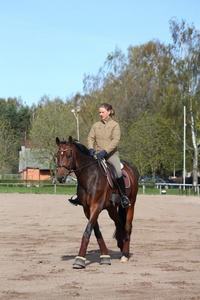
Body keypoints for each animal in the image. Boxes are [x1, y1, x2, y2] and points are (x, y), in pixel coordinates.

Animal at [55, 137, 138, 270]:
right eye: (57, 155)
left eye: (68, 155)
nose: (60, 177)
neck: (89, 176)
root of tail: (130, 167)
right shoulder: (87, 209)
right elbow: (96, 230)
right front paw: (105, 256)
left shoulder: (96, 206)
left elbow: (87, 230)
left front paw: (79, 259)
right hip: (111, 209)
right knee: (119, 224)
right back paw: (121, 246)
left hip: (131, 205)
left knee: (127, 226)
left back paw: (125, 254)